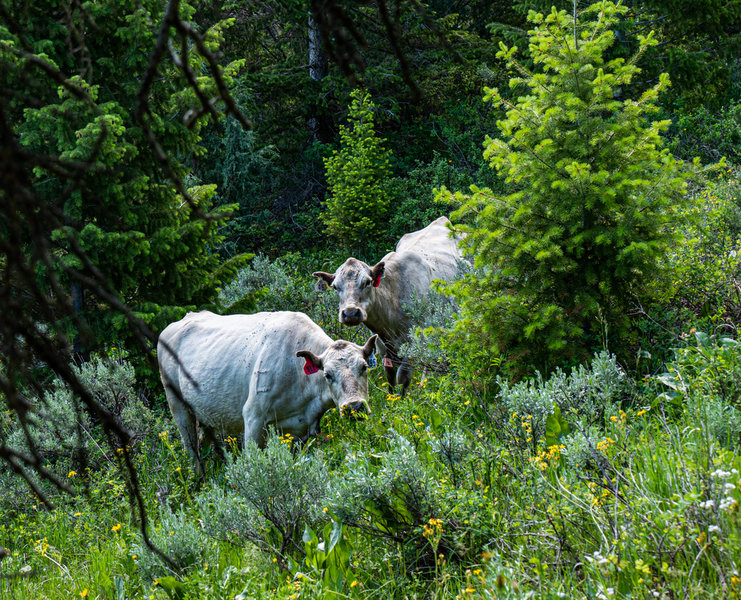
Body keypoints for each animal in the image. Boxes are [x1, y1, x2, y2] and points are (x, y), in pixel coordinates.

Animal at [156, 310, 376, 468]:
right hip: (178, 407)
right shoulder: (253, 416)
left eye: (364, 367)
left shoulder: (300, 431)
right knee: (191, 449)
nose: (354, 407)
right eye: (327, 375)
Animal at [312, 218, 462, 396]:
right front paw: (392, 399)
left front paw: (403, 401)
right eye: (335, 286)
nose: (350, 313)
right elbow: (390, 376)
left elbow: (403, 377)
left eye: (367, 282)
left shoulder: (412, 344)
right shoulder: (381, 346)